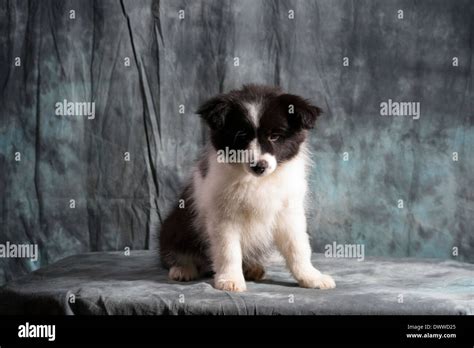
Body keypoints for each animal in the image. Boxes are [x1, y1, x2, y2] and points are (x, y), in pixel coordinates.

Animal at [160, 84, 336, 290]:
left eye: (275, 136)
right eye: (242, 135)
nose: (259, 166)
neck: (257, 181)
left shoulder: (289, 211)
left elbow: (298, 247)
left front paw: (311, 277)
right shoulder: (223, 216)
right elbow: (228, 250)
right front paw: (230, 280)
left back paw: (252, 269)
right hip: (174, 226)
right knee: (176, 253)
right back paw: (182, 269)